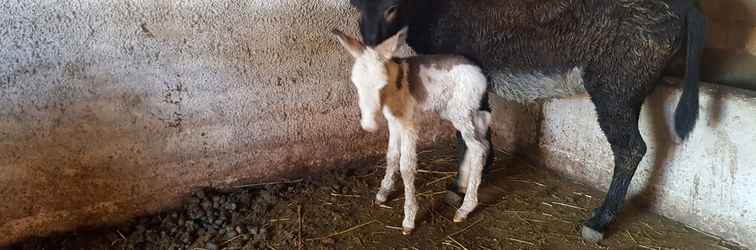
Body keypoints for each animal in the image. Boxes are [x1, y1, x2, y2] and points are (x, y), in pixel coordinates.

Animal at [334, 27, 494, 234]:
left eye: (382, 84)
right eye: (355, 83)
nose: (369, 125)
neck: (394, 88)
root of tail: (479, 71)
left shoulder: (408, 124)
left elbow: (406, 166)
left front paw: (409, 219)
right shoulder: (394, 122)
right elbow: (392, 156)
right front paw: (383, 192)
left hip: (460, 111)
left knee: (478, 148)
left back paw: (465, 208)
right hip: (464, 112)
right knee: (482, 142)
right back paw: (464, 184)